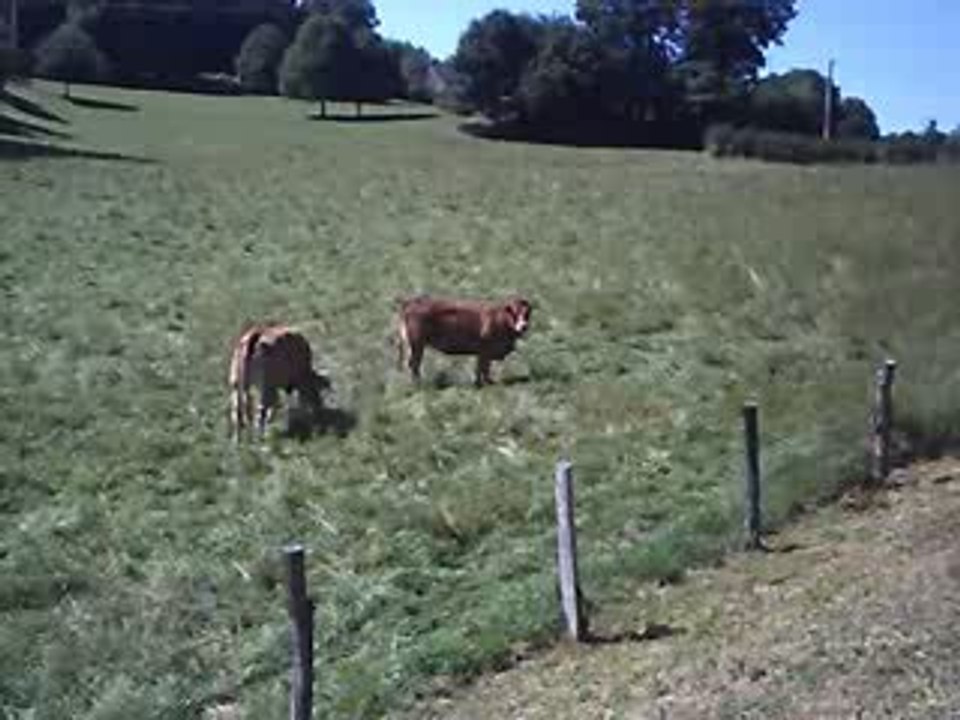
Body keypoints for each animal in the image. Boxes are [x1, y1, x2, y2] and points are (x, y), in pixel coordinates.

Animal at [395, 294, 533, 387]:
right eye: (514, 313)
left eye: (527, 314)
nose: (524, 326)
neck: (500, 319)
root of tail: (411, 302)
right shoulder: (485, 350)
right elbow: (484, 368)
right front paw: (486, 383)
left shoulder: (483, 353)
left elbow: (481, 367)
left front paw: (480, 383)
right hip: (416, 344)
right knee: (413, 364)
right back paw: (417, 385)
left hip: (413, 345)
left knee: (412, 364)